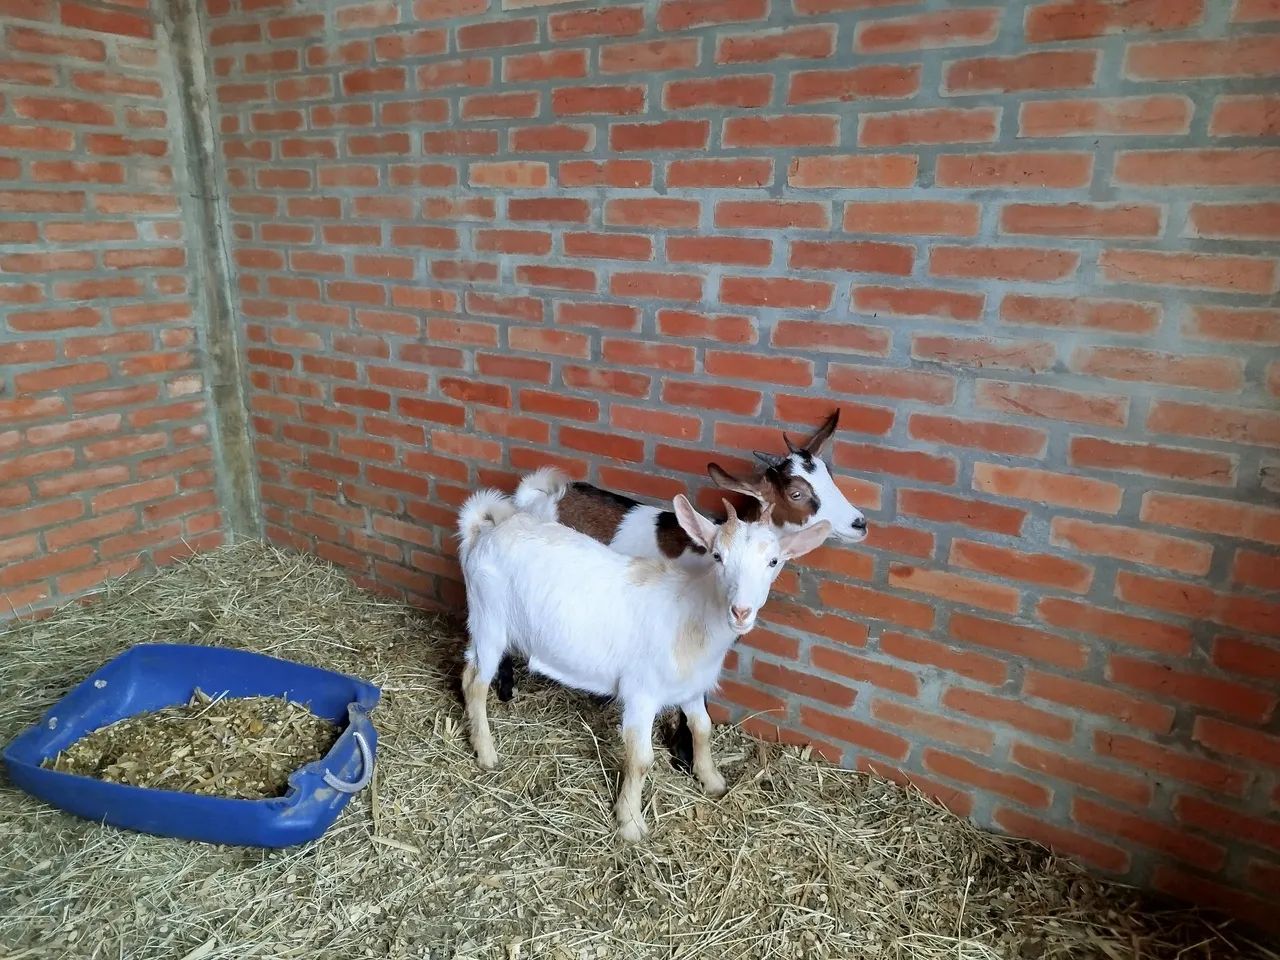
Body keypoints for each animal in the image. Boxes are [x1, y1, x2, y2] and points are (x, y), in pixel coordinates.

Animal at [457, 488, 829, 841]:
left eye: (773, 561)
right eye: (717, 556)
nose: (740, 611)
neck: (692, 613)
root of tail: (484, 530)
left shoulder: (691, 688)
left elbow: (703, 728)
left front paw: (712, 780)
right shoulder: (641, 693)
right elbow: (640, 759)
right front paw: (631, 822)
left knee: (465, 673)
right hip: (490, 620)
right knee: (477, 683)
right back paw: (487, 753)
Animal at [495, 411, 867, 771]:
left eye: (831, 477)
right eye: (796, 493)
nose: (859, 523)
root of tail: (539, 497)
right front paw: (683, 753)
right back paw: (504, 688)